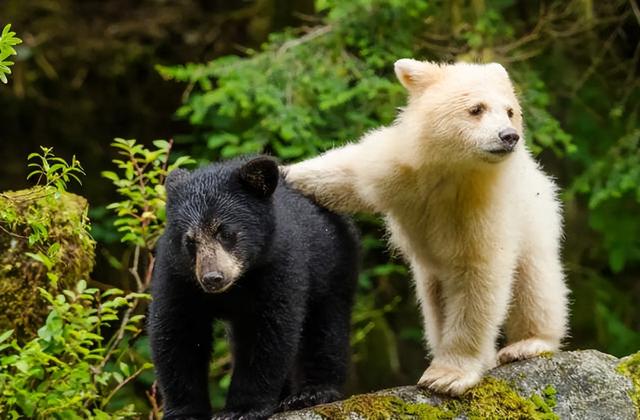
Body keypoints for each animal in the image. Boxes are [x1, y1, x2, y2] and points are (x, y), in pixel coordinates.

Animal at [149, 156, 360, 418]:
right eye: (190, 241)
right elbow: (179, 333)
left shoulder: (277, 265)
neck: (236, 285)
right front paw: (185, 411)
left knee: (325, 326)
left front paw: (242, 408)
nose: (212, 278)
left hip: (333, 264)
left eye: (226, 233)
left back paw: (312, 392)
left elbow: (267, 332)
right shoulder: (178, 275)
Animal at [284, 60, 568, 398]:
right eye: (476, 108)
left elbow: (479, 274)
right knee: (434, 301)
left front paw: (447, 376)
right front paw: (282, 172)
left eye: (510, 111)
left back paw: (528, 344)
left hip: (534, 216)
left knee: (534, 278)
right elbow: (344, 173)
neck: (450, 170)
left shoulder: (481, 207)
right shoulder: (400, 166)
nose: (509, 136)